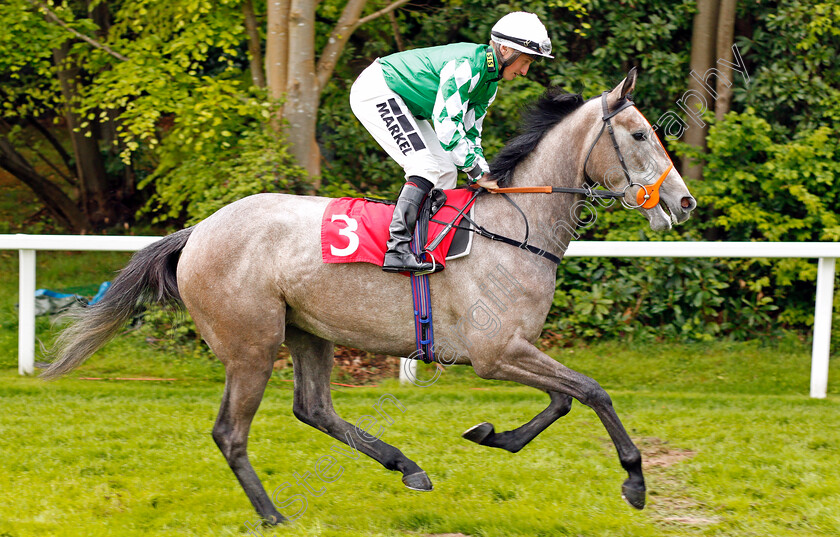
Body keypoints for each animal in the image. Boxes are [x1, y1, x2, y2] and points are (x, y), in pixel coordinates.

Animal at [42, 69, 696, 520]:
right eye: (640, 133)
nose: (684, 201)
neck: (516, 228)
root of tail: (198, 230)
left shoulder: (510, 350)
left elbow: (564, 399)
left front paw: (491, 435)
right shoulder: (495, 353)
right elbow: (592, 391)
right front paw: (635, 481)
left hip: (308, 332)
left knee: (314, 409)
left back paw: (406, 466)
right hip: (252, 344)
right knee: (231, 432)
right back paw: (273, 514)